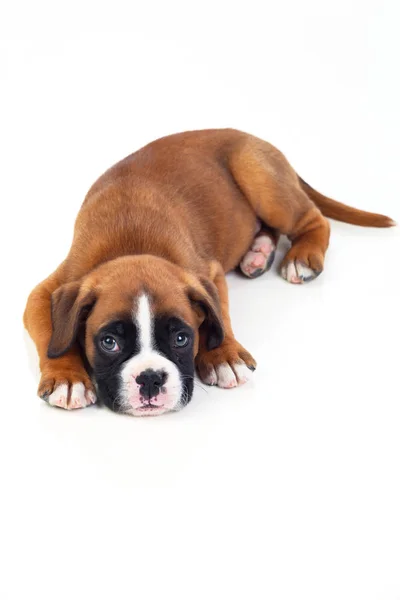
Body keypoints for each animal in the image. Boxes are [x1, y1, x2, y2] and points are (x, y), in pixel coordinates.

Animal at [23, 129, 396, 414]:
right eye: (109, 342)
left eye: (181, 338)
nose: (150, 378)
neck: (132, 245)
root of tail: (250, 136)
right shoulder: (46, 292)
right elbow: (52, 334)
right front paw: (68, 378)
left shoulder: (208, 276)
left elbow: (220, 316)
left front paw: (223, 355)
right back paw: (259, 252)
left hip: (257, 176)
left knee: (314, 219)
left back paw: (300, 257)